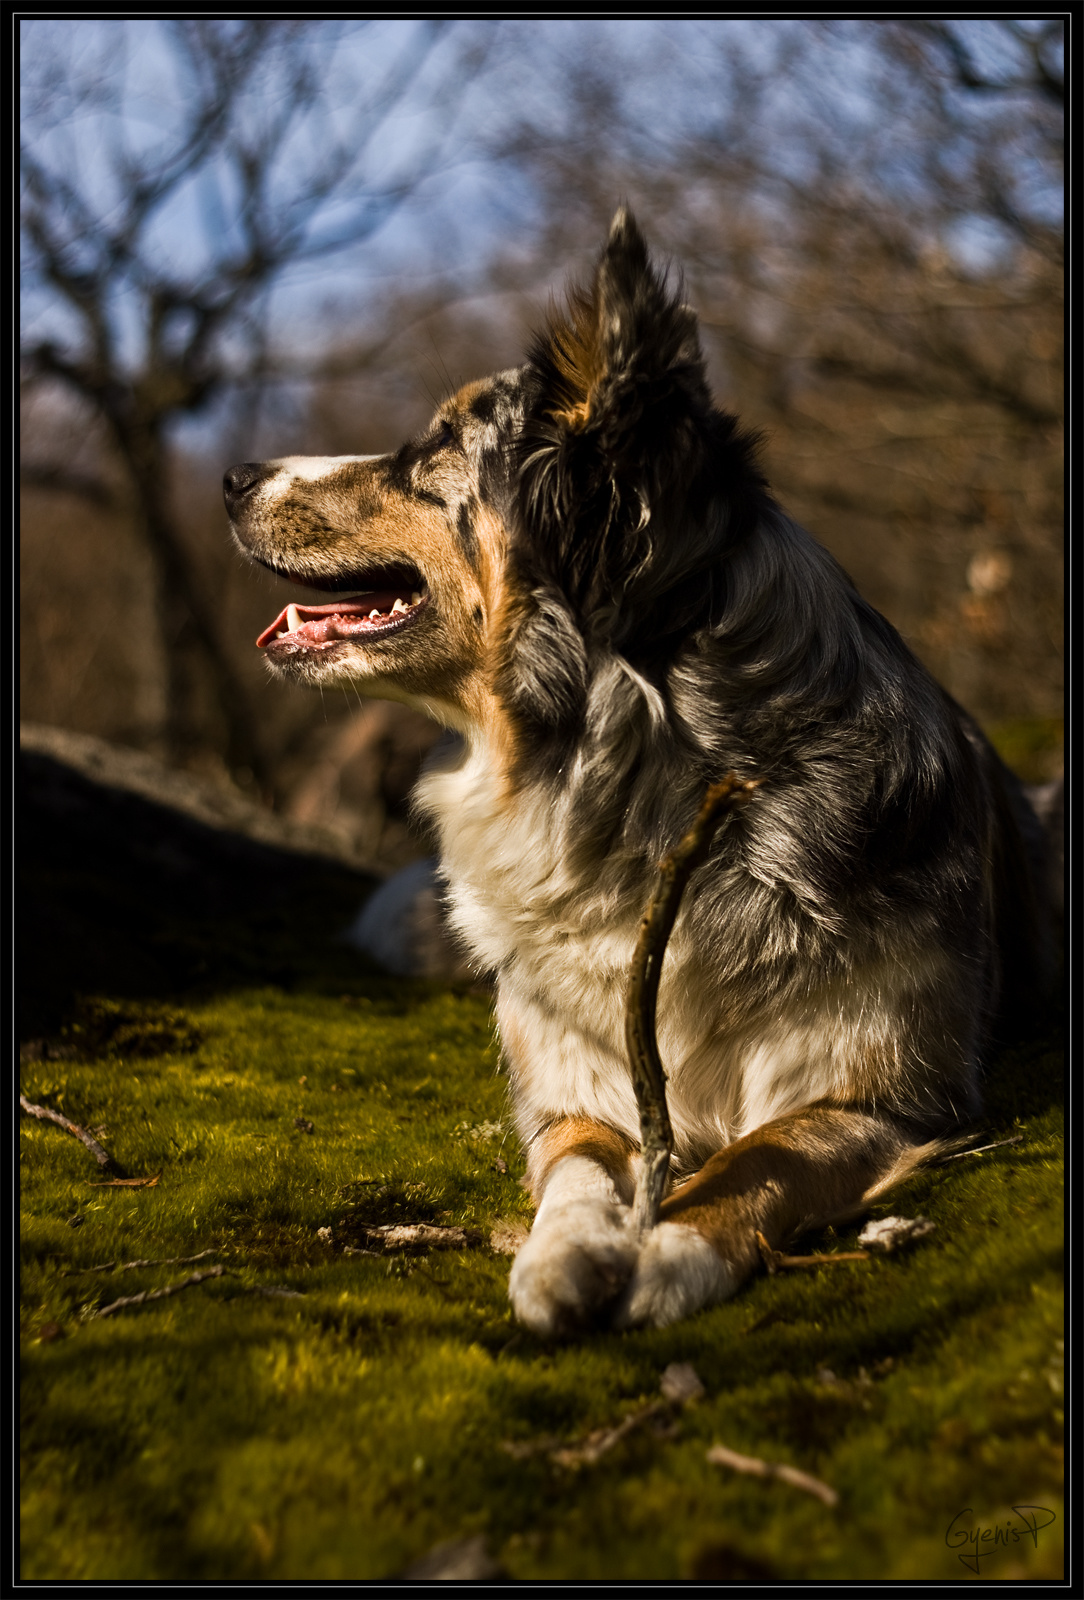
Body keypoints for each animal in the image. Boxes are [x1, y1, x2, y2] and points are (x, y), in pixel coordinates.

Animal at [227, 209, 1055, 1337]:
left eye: (426, 453)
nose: (232, 476)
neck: (641, 800)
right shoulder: (575, 1091)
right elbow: (577, 1171)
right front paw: (564, 1254)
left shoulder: (886, 1090)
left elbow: (761, 1158)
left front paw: (672, 1248)